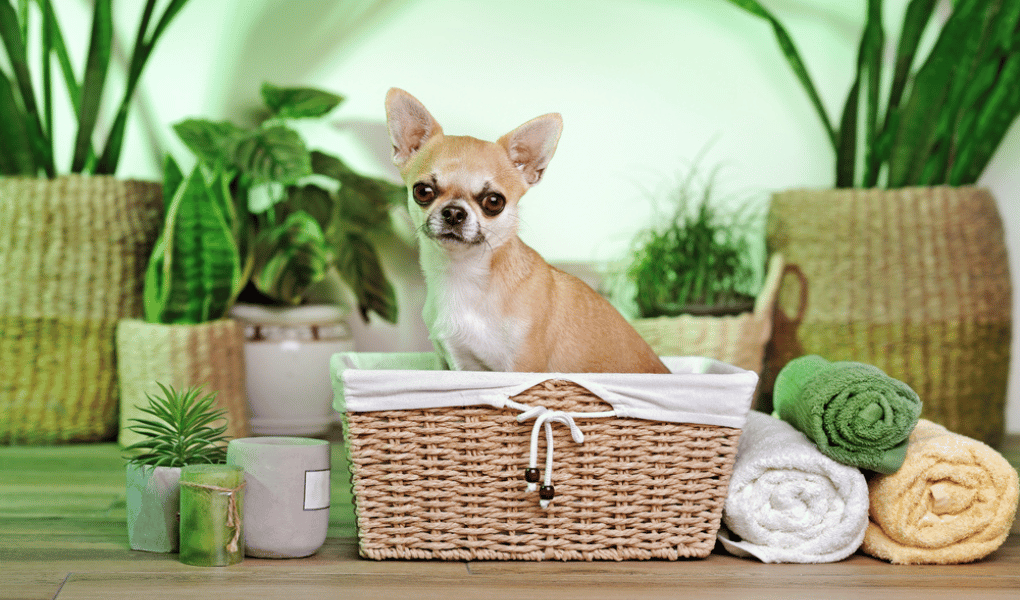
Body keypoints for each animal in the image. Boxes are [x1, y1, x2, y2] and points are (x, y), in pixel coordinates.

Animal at [383, 87, 669, 373]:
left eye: (494, 201)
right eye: (423, 191)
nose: (454, 212)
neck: (462, 276)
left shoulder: (522, 365)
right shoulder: (454, 364)